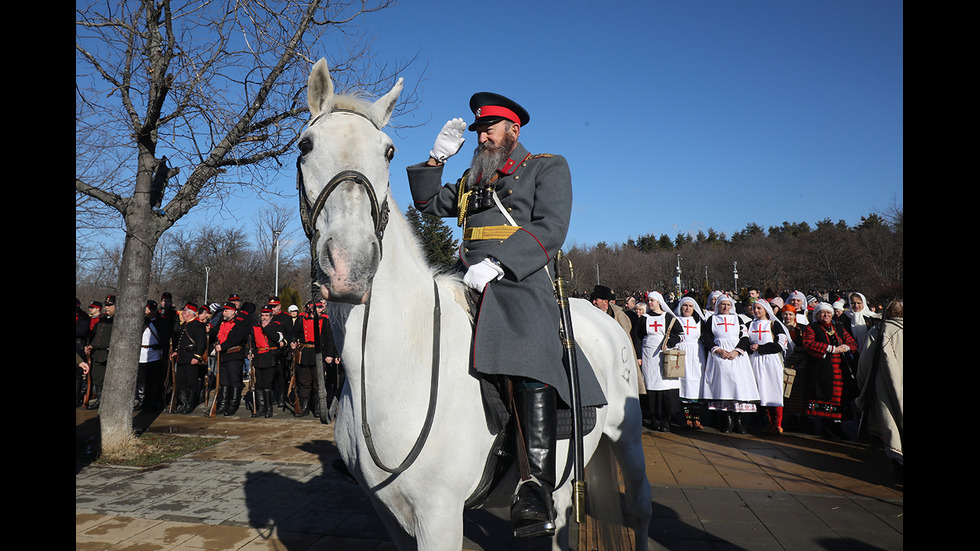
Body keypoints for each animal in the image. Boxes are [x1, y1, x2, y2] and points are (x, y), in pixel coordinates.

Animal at [296, 57, 652, 551]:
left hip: (627, 436)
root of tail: (599, 315)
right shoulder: (387, 515)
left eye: (388, 151)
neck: (387, 366)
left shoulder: (440, 517)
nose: (350, 265)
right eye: (305, 144)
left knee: (638, 507)